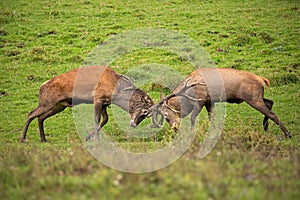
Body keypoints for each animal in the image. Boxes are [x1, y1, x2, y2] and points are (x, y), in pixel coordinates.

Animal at [21, 66, 154, 143]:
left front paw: (88, 137)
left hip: (58, 106)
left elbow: (105, 119)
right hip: (47, 103)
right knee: (31, 114)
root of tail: (41, 87)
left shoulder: (105, 102)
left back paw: (43, 139)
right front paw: (96, 139)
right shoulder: (98, 98)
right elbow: (97, 118)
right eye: (145, 112)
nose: (133, 124)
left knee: (40, 117)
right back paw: (23, 139)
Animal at [151, 68, 292, 138]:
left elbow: (192, 118)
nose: (174, 128)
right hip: (257, 97)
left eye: (165, 115)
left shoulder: (201, 100)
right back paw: (265, 127)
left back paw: (287, 134)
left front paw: (192, 133)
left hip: (253, 98)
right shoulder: (209, 102)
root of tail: (263, 80)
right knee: (270, 102)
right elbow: (212, 118)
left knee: (272, 113)